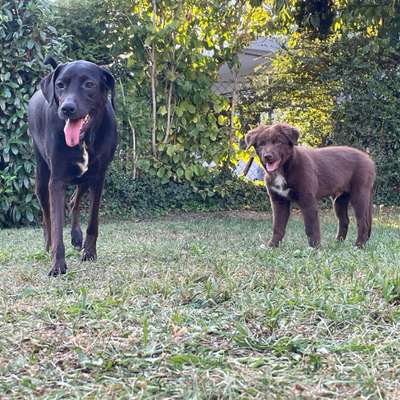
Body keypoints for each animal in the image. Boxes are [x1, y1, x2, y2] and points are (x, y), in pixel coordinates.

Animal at [28, 57, 117, 276]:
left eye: (89, 84)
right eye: (60, 85)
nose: (67, 108)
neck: (84, 139)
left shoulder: (98, 177)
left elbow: (92, 221)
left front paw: (89, 252)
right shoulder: (57, 181)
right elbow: (56, 226)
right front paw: (57, 264)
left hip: (85, 178)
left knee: (74, 200)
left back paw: (77, 238)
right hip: (42, 178)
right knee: (47, 217)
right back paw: (48, 245)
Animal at [245, 123, 376, 247]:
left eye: (278, 142)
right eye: (261, 144)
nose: (267, 156)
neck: (285, 169)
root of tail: (368, 158)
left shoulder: (307, 200)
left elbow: (311, 226)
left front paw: (315, 247)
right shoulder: (279, 201)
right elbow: (277, 226)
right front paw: (273, 245)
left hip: (359, 194)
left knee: (363, 222)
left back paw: (359, 245)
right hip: (339, 200)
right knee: (344, 220)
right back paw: (338, 243)